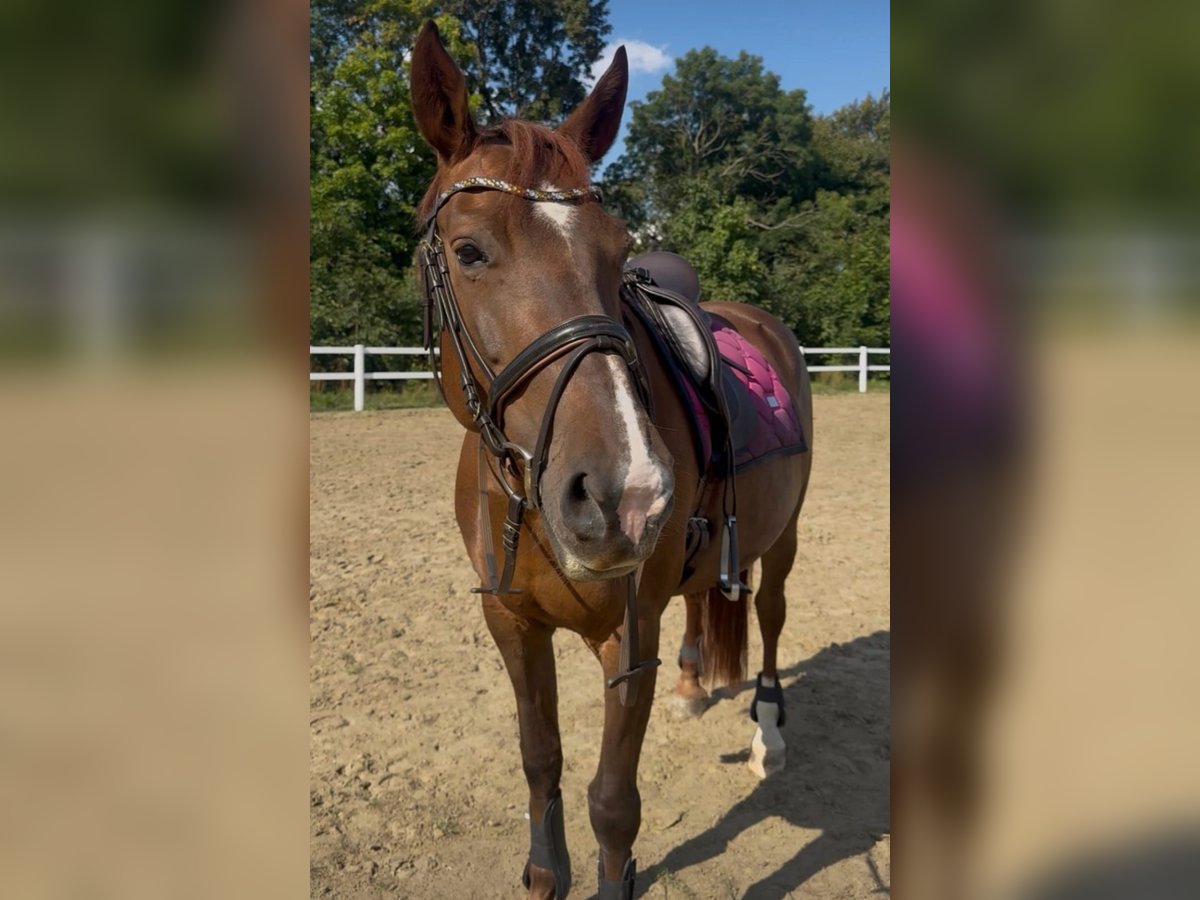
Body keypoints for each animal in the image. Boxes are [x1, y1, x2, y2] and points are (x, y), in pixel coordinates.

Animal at [408, 21, 813, 899]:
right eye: (469, 250)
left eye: (619, 249)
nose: (628, 494)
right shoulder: (511, 622)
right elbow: (540, 759)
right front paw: (542, 871)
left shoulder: (629, 637)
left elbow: (613, 805)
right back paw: (695, 683)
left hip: (785, 533)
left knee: (769, 615)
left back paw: (769, 733)